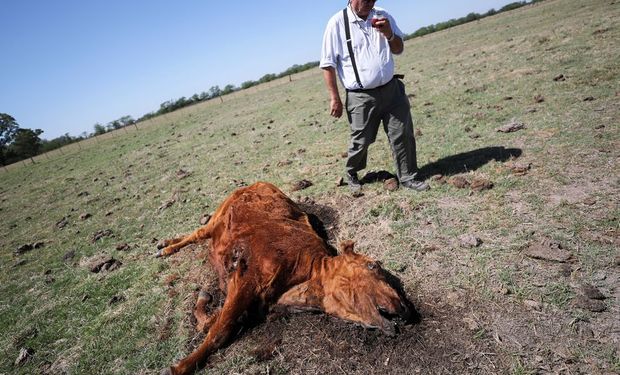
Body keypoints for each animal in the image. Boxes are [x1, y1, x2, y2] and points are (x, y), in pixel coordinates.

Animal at [156, 181, 416, 374]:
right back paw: (166, 247)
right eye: (373, 265)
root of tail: (258, 183)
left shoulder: (255, 303)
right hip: (218, 216)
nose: (404, 307)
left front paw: (203, 301)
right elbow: (219, 329)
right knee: (197, 233)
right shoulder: (248, 278)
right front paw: (179, 367)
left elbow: (214, 322)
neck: (308, 274)